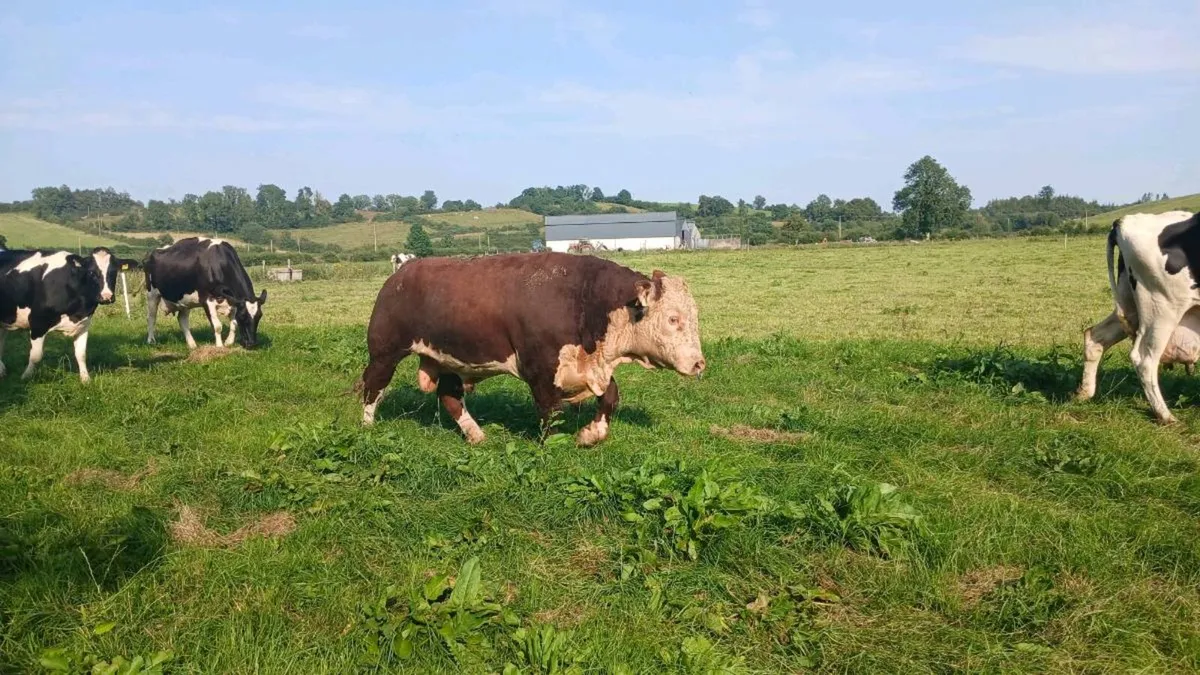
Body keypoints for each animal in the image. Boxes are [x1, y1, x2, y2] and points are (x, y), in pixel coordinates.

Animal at [0, 247, 140, 382]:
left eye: (114, 272)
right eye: (91, 272)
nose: (107, 297)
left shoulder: (83, 325)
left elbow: (81, 354)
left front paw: (85, 379)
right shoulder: (38, 323)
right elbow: (36, 356)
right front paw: (26, 376)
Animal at [358, 252, 706, 446]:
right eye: (673, 318)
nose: (699, 364)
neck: (584, 299)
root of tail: (403, 272)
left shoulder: (588, 367)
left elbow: (610, 396)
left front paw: (590, 435)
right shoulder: (540, 369)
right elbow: (549, 410)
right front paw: (552, 445)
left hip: (449, 360)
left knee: (450, 397)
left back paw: (476, 435)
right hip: (385, 353)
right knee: (373, 386)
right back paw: (367, 426)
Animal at [1080, 211, 1200, 423]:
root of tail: (1124, 221)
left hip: (1129, 305)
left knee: (1095, 335)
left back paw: (1084, 393)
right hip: (1161, 308)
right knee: (1145, 359)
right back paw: (1165, 416)